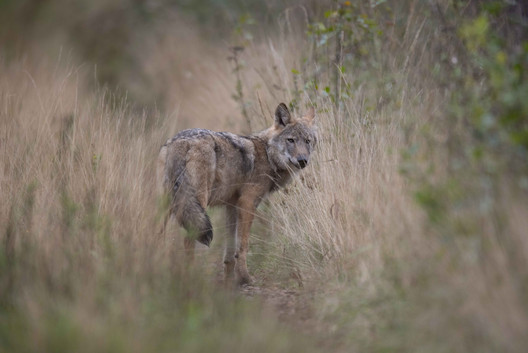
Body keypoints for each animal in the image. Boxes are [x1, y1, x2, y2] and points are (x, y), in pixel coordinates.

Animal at [156, 102, 314, 284]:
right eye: (291, 140)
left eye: (308, 141)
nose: (303, 160)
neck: (267, 155)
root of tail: (182, 141)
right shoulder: (247, 203)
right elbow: (243, 246)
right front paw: (245, 278)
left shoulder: (231, 206)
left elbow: (230, 252)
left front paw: (229, 281)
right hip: (196, 205)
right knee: (188, 240)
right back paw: (189, 278)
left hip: (169, 206)